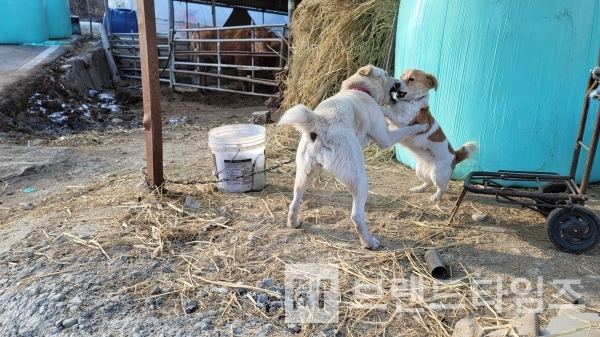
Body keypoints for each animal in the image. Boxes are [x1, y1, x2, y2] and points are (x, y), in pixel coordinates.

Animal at [278, 64, 428, 248]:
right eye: (386, 74)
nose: (398, 82)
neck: (360, 89)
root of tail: (320, 121)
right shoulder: (385, 138)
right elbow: (406, 129)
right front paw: (421, 126)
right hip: (359, 180)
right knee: (357, 216)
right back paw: (369, 242)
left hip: (303, 175)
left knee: (294, 202)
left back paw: (294, 223)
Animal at [384, 67, 478, 201]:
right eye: (401, 77)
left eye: (411, 79)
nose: (396, 84)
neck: (411, 102)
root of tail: (455, 155)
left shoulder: (404, 121)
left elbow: (390, 112)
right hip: (420, 170)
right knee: (428, 183)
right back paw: (418, 189)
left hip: (438, 175)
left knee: (441, 188)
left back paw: (436, 197)